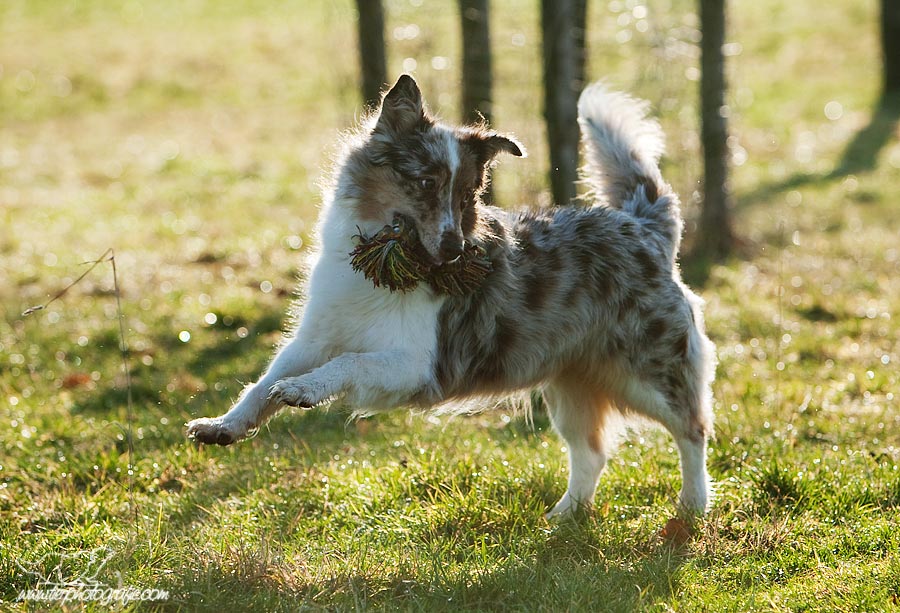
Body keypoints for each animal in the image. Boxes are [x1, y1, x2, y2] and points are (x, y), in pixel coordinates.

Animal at [188, 73, 716, 516]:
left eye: (466, 197)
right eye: (425, 183)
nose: (454, 251)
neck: (377, 266)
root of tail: (642, 226)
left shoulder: (416, 364)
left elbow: (347, 365)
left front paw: (304, 390)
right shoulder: (314, 338)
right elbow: (262, 385)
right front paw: (223, 425)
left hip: (651, 369)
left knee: (692, 431)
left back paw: (692, 507)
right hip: (569, 383)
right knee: (591, 454)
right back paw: (563, 518)